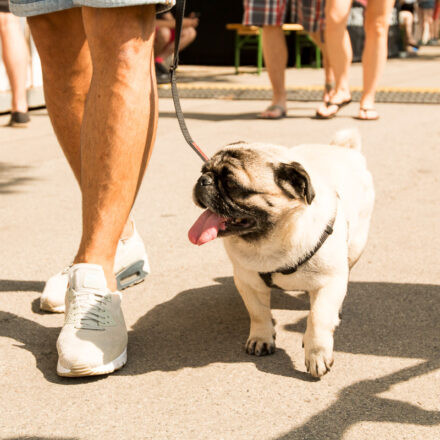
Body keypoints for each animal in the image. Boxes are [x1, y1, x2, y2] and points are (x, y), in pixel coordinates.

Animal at [187, 128, 372, 378]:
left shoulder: (328, 282)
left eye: (231, 184)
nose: (203, 181)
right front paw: (261, 338)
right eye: (203, 171)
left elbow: (318, 318)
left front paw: (317, 353)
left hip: (355, 247)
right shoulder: (248, 282)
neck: (272, 241)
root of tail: (342, 148)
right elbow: (258, 313)